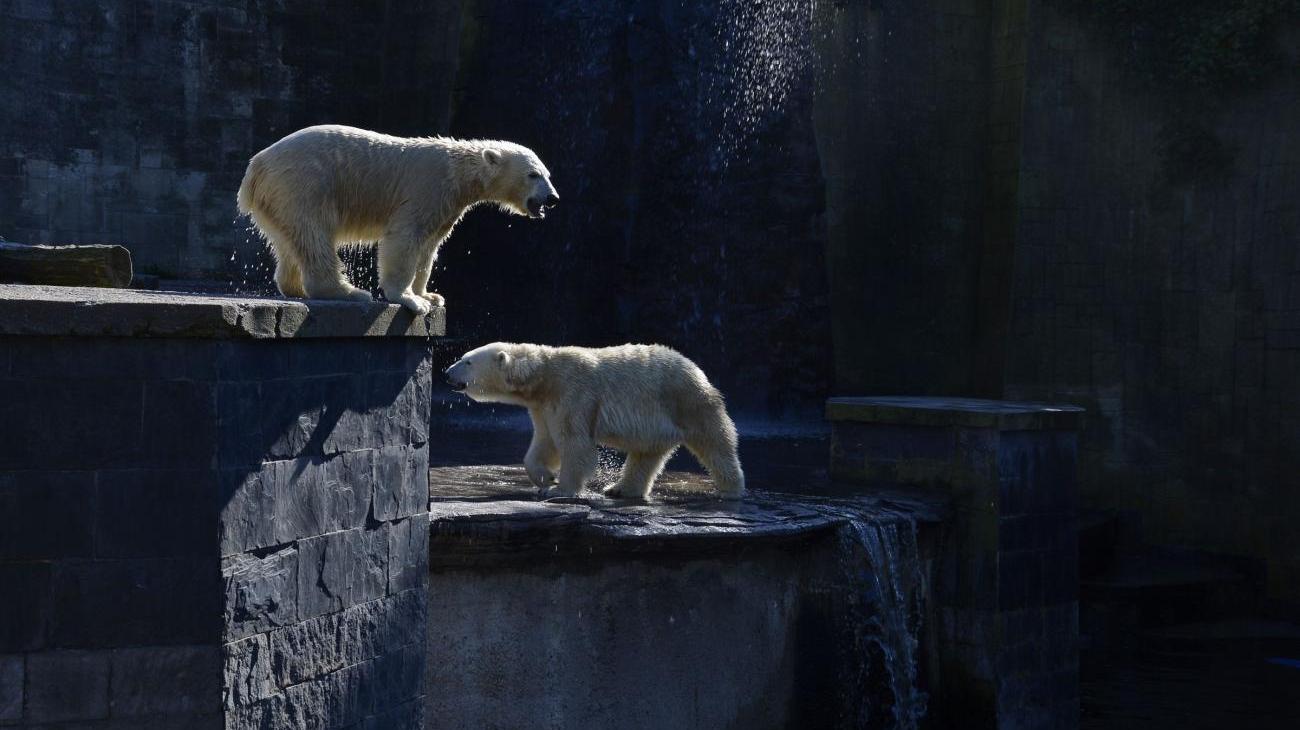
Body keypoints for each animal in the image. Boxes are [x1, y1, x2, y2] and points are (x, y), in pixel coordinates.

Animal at [236, 124, 556, 313]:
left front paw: (431, 295)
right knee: (315, 234)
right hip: (305, 183)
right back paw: (348, 291)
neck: (459, 173)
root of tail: (257, 165)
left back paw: (295, 286)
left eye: (548, 174)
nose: (553, 199)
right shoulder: (428, 187)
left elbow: (429, 248)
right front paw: (409, 299)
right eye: (533, 174)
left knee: (291, 241)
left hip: (278, 199)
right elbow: (406, 237)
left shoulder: (447, 205)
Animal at [444, 340, 743, 498]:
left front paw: (559, 490)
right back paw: (619, 489)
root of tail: (697, 369)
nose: (447, 373)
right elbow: (545, 443)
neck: (544, 375)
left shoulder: (574, 393)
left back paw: (730, 488)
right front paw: (545, 477)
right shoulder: (543, 406)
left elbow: (575, 444)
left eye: (467, 361)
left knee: (715, 443)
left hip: (688, 401)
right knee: (646, 455)